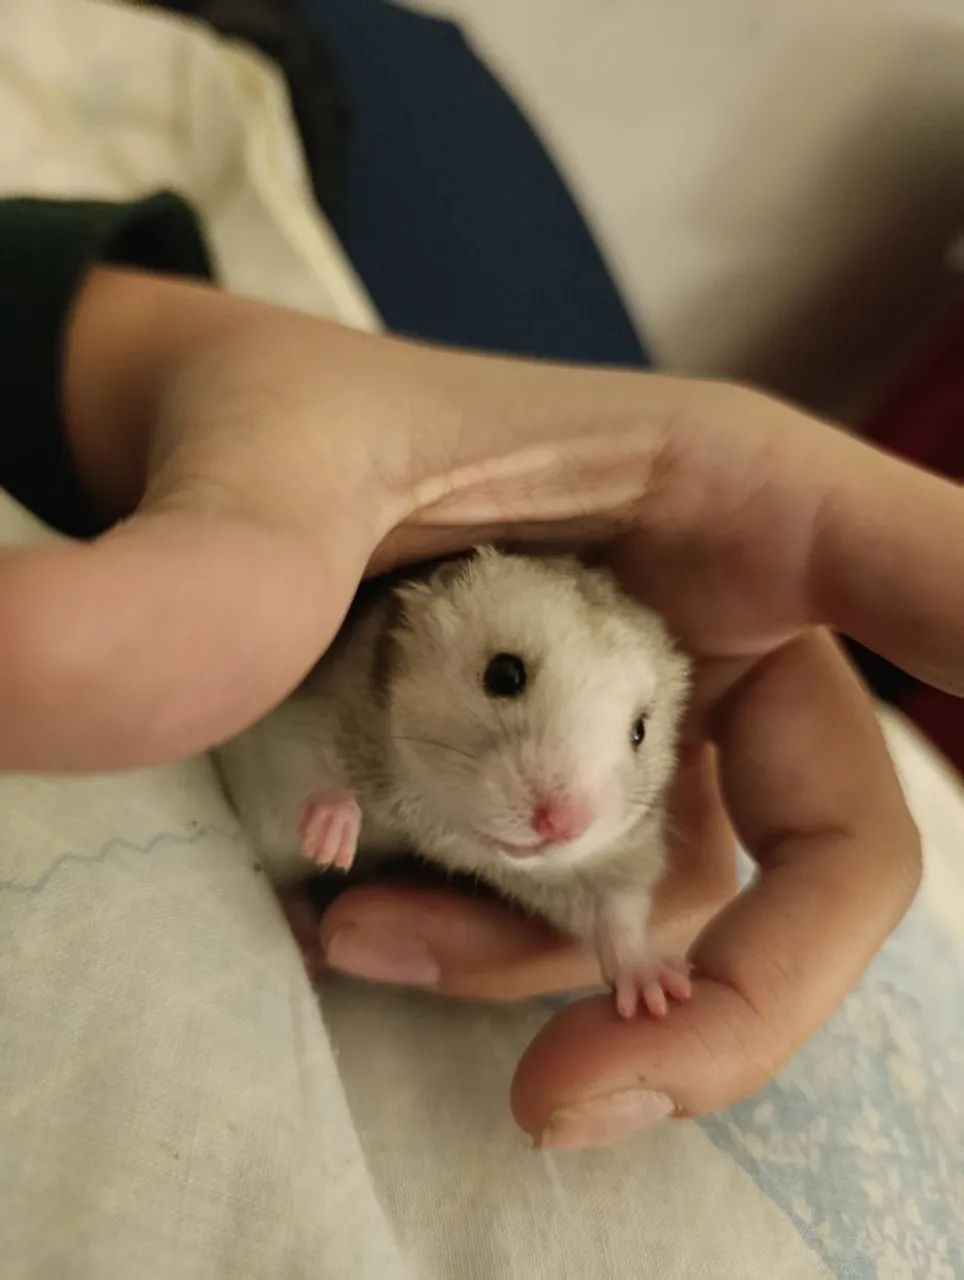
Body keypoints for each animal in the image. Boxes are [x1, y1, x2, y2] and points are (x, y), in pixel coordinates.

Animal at [215, 546, 693, 1019]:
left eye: (639, 731)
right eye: (503, 674)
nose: (562, 825)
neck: (438, 819)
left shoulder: (612, 858)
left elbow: (616, 909)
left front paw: (659, 991)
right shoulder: (293, 720)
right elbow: (316, 772)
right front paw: (332, 839)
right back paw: (310, 954)